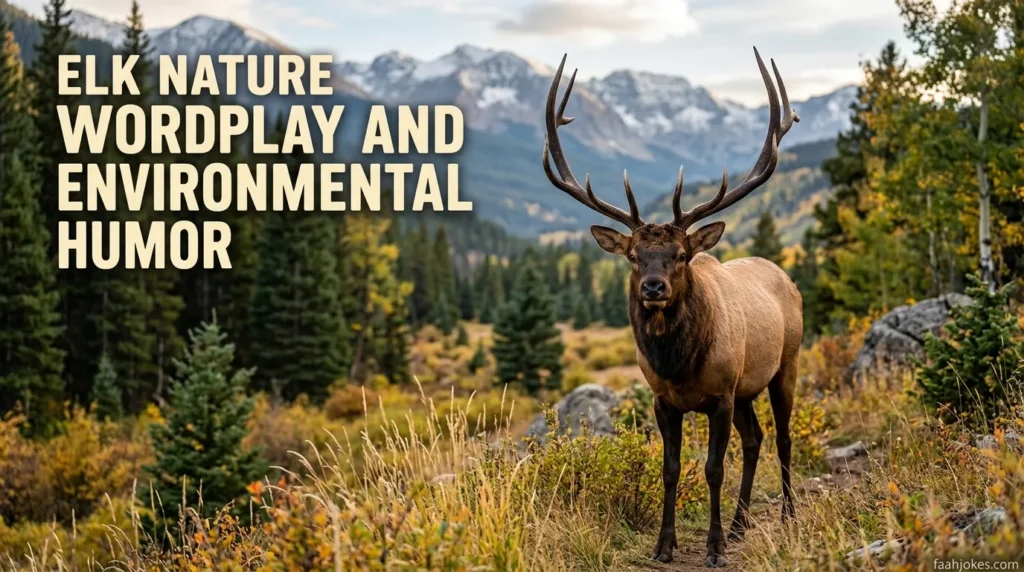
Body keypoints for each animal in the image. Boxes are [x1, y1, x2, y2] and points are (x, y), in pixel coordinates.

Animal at [541, 48, 803, 568]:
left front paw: (714, 547)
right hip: (747, 387)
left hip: (786, 364)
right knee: (756, 439)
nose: (654, 287)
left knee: (782, 437)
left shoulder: (720, 395)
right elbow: (670, 467)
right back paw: (741, 524)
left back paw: (784, 514)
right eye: (633, 255)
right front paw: (665, 544)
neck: (680, 365)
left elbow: (713, 469)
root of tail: (784, 275)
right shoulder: (664, 400)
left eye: (681, 254)